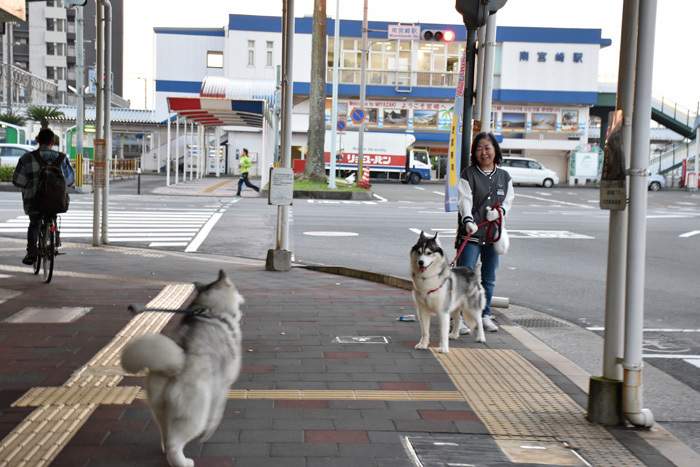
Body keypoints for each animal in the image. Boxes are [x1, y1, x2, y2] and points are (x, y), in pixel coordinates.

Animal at [119, 270, 242, 467]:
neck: (212, 310)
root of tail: (176, 367)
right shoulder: (223, 384)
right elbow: (217, 411)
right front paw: (210, 429)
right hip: (193, 415)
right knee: (175, 443)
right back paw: (183, 462)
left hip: (160, 410)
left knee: (166, 435)